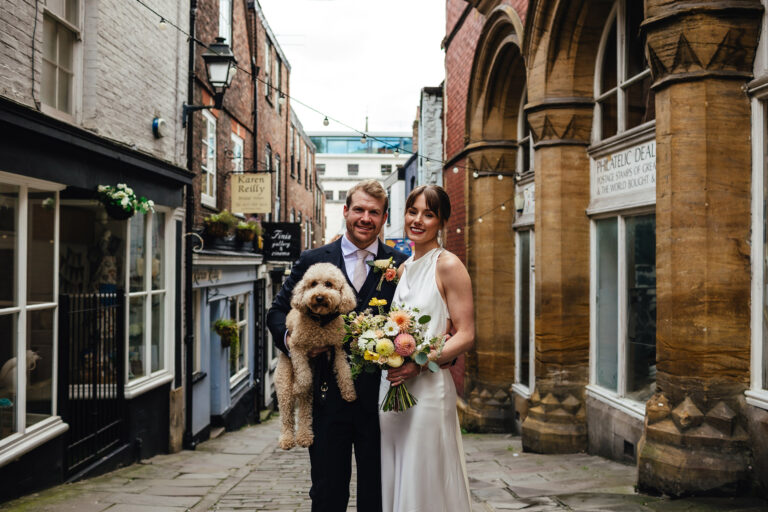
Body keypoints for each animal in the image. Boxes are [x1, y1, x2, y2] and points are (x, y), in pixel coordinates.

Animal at [278, 262, 358, 450]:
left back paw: (304, 437)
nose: (319, 297)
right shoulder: (296, 348)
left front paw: (349, 393)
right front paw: (298, 386)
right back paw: (287, 439)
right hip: (284, 382)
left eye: (329, 284)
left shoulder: (337, 349)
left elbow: (344, 372)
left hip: (310, 392)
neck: (321, 322)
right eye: (313, 283)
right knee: (286, 413)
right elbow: (304, 377)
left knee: (305, 410)